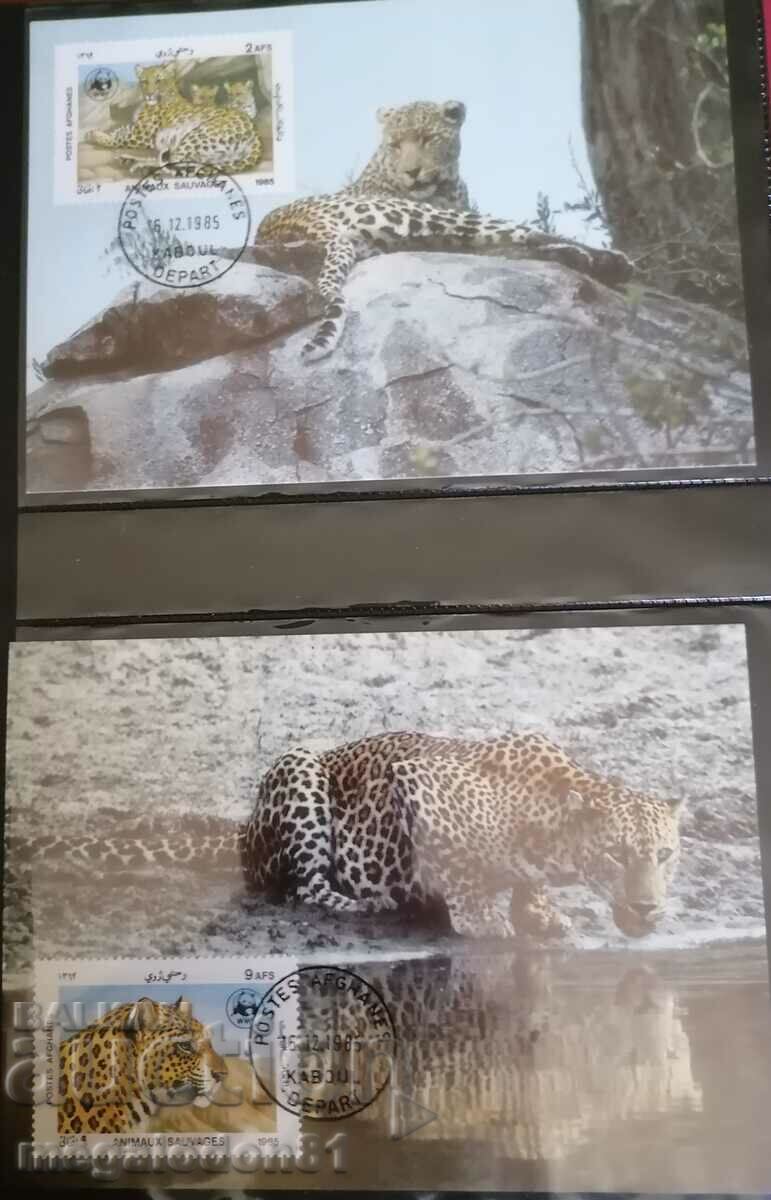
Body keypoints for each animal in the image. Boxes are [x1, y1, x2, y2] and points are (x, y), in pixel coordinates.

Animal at [85, 61, 262, 175]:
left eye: (158, 80)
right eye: (144, 81)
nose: (149, 94)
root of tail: (255, 132)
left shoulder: (141, 137)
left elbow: (116, 140)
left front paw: (93, 135)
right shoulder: (135, 128)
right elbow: (121, 131)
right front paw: (103, 132)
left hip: (196, 135)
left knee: (172, 164)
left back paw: (139, 165)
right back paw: (129, 160)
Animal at [241, 730, 682, 940]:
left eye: (664, 855)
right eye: (616, 855)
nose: (647, 907)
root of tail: (245, 830)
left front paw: (537, 912)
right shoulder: (416, 778)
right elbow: (457, 866)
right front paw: (481, 918)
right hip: (301, 766)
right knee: (306, 886)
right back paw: (365, 903)